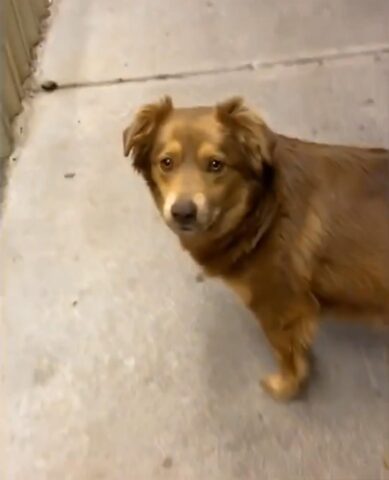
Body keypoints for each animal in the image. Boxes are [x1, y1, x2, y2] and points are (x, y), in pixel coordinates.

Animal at [122, 95, 388, 400]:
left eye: (216, 164)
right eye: (166, 162)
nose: (183, 212)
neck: (264, 210)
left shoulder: (279, 309)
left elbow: (285, 354)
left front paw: (286, 385)